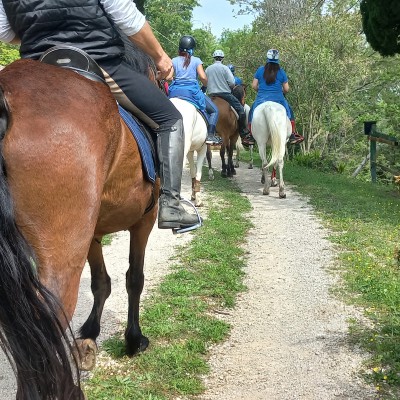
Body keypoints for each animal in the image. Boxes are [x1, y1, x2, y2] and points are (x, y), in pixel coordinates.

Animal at [0, 57, 159, 398]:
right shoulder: (144, 221)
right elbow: (134, 278)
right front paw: (133, 339)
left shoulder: (93, 233)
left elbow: (101, 282)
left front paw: (89, 335)